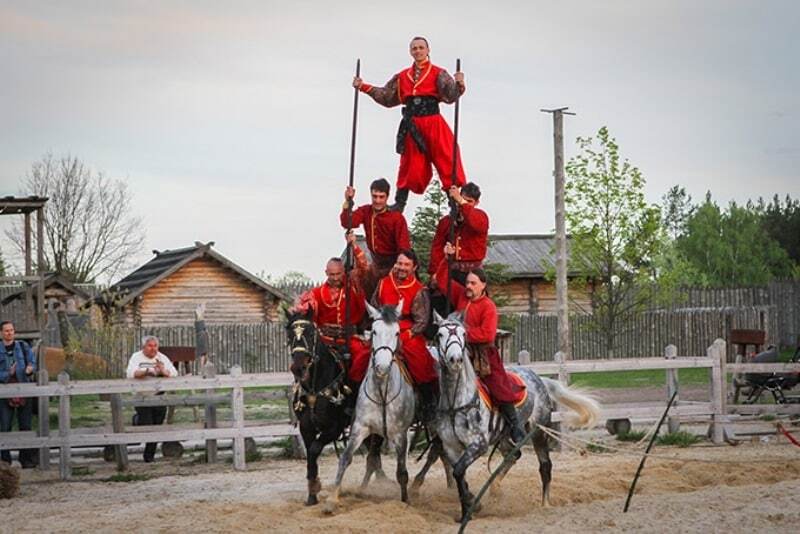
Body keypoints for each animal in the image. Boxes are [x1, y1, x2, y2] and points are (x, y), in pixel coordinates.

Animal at [328, 304, 416, 508]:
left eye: (397, 332)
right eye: (374, 331)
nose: (382, 367)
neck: (382, 392)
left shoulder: (401, 435)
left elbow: (402, 472)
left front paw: (405, 501)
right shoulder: (360, 428)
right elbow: (345, 459)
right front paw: (332, 499)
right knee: (372, 458)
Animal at [428, 314, 596, 524]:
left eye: (463, 334)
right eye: (440, 334)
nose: (455, 359)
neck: (456, 402)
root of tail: (539, 379)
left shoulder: (479, 445)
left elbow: (458, 471)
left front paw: (472, 506)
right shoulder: (451, 447)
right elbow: (459, 474)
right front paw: (468, 509)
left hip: (538, 433)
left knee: (545, 466)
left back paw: (545, 504)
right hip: (504, 437)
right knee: (514, 455)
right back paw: (495, 488)